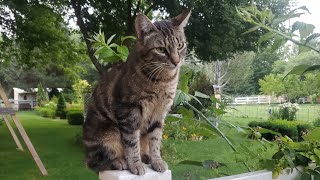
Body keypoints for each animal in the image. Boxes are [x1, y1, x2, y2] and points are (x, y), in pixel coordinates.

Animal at [84, 10, 191, 175]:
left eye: (180, 45)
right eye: (161, 49)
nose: (176, 61)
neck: (164, 80)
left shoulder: (159, 113)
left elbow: (155, 140)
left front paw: (156, 160)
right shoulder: (129, 111)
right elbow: (132, 142)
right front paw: (135, 163)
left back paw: (145, 156)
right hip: (108, 131)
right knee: (98, 162)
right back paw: (120, 162)